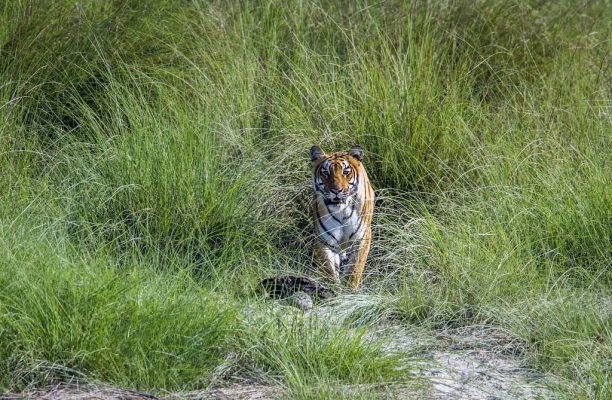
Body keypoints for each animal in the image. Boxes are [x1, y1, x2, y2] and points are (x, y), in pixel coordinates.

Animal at [310, 145, 372, 290]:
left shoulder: (362, 238)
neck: (341, 212)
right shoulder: (324, 241)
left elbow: (354, 269)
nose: (336, 190)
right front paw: (334, 289)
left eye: (345, 172)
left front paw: (350, 290)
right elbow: (329, 270)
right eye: (325, 173)